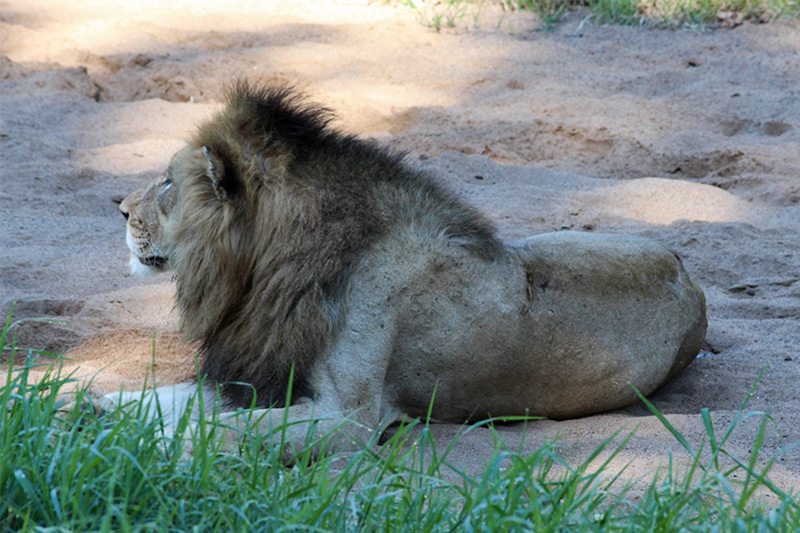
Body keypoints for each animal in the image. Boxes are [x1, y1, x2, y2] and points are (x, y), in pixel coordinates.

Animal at [108, 83, 708, 458]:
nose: (120, 209)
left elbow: (220, 429)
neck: (265, 271)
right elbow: (160, 400)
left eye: (168, 182)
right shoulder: (258, 373)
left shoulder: (348, 419)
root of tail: (696, 287)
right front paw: (92, 410)